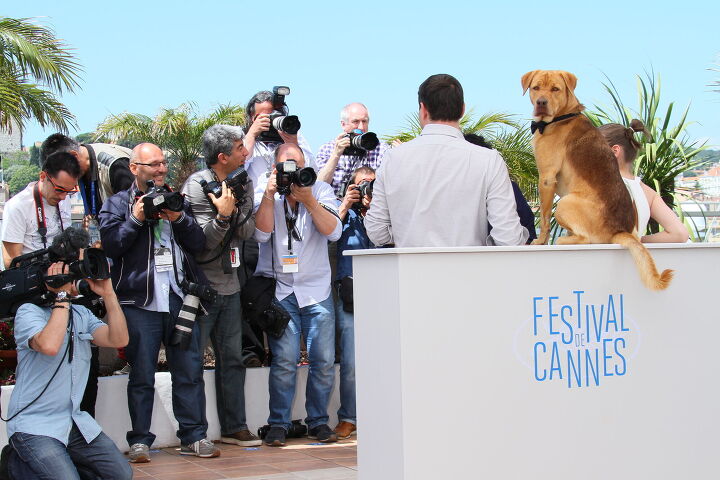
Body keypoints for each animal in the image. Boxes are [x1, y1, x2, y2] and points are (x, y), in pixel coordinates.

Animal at [520, 69, 672, 290]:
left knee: (586, 239)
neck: (562, 116)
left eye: (556, 89)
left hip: (565, 203)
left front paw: (540, 241)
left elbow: (545, 217)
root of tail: (619, 231)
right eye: (536, 87)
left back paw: (562, 241)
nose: (541, 102)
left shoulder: (546, 177)